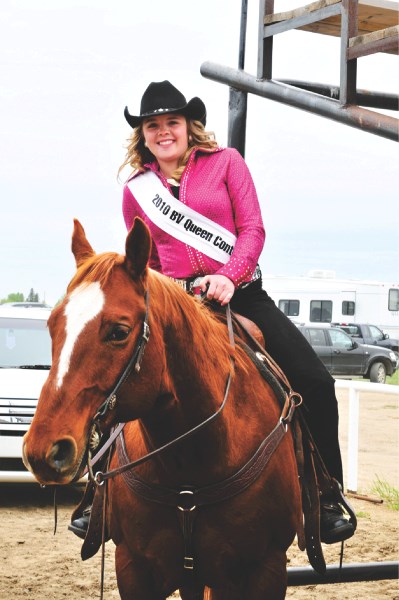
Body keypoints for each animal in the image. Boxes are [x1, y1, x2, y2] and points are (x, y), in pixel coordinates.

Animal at [21, 219, 304, 600]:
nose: (44, 450)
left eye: (119, 331)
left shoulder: (266, 571)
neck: (196, 460)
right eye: (52, 325)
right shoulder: (134, 568)